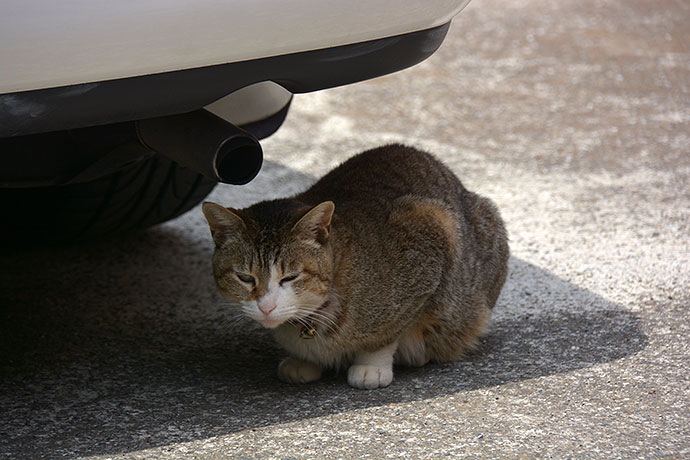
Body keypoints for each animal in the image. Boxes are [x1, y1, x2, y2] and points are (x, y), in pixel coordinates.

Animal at [202, 144, 508, 388]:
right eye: (245, 278)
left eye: (290, 277)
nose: (266, 307)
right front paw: (304, 360)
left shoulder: (429, 234)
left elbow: (387, 333)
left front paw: (371, 365)